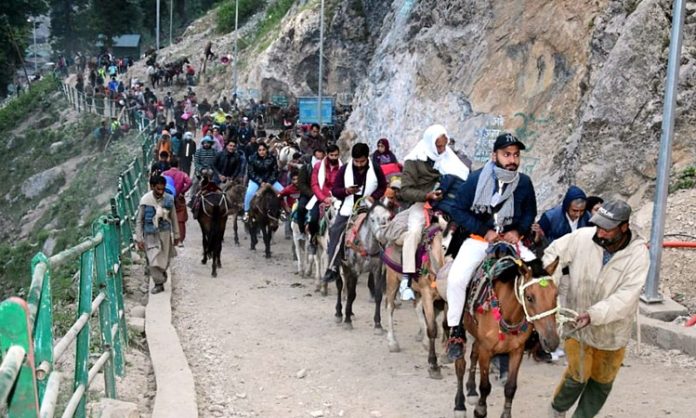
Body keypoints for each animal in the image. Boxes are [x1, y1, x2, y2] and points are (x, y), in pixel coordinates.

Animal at [336, 199, 394, 330]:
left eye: (388, 217)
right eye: (372, 219)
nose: (383, 238)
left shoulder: (377, 270)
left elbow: (378, 295)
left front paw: (378, 324)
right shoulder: (355, 270)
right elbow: (352, 294)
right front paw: (347, 321)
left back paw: (350, 312)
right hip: (338, 264)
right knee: (340, 285)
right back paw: (339, 313)